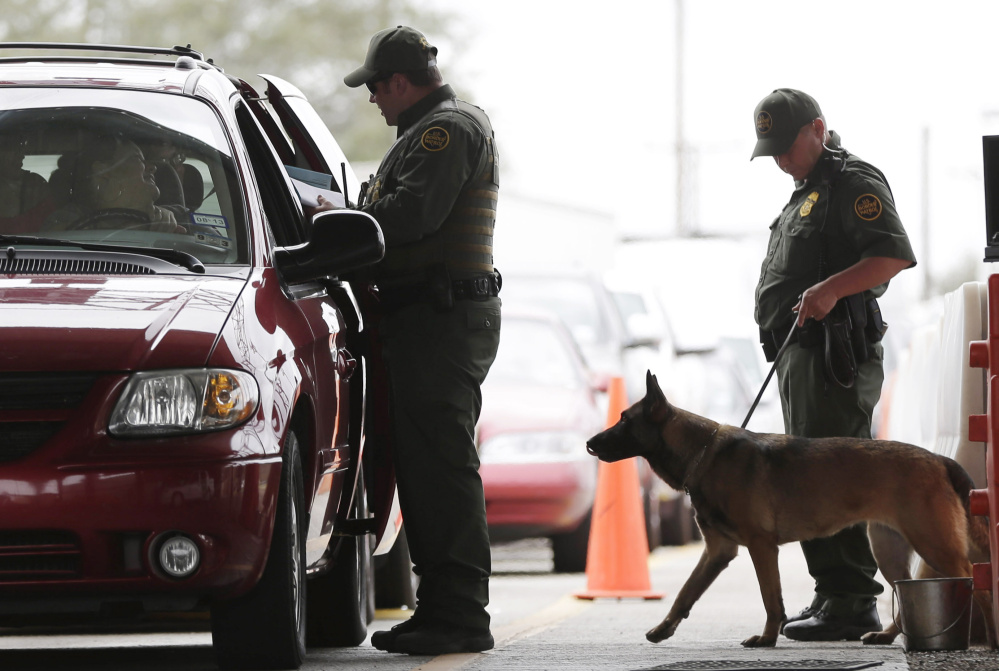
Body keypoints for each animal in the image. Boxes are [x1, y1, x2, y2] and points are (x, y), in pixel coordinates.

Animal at [584, 370, 992, 648]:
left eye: (624, 419)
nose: (589, 442)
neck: (702, 452)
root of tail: (938, 459)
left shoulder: (761, 547)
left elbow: (770, 598)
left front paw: (766, 638)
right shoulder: (718, 551)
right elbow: (687, 591)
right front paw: (664, 628)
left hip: (934, 544)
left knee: (971, 576)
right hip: (889, 548)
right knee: (905, 590)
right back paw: (890, 635)